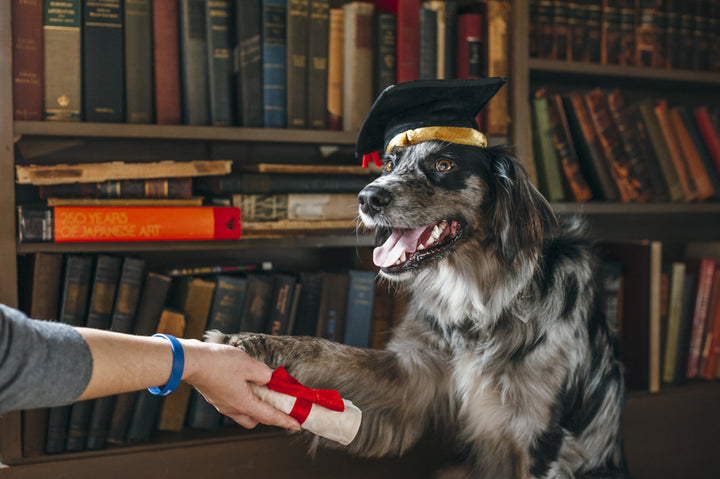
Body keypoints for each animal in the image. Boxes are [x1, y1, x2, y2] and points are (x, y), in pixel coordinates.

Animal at [205, 141, 628, 478]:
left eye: (444, 165)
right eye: (390, 164)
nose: (367, 198)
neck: (481, 298)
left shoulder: (541, 437)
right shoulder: (409, 379)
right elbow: (325, 350)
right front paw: (250, 341)